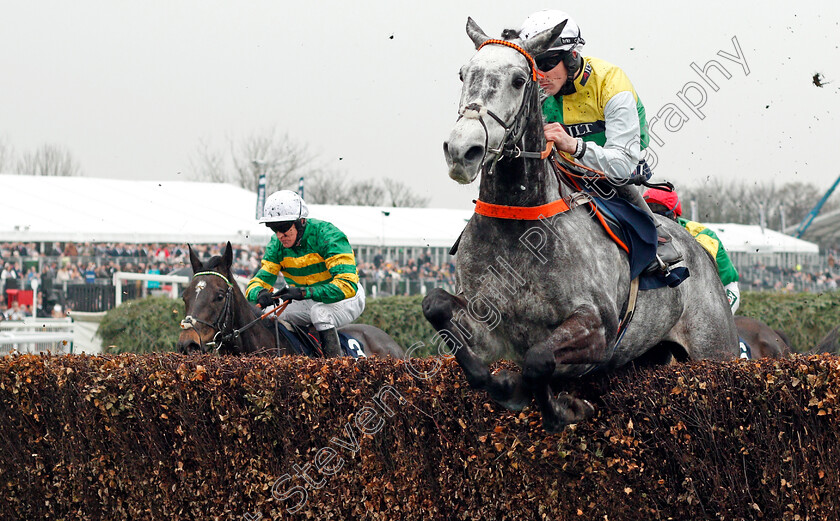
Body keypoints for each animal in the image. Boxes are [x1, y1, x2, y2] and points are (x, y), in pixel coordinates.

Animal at [424, 18, 740, 432]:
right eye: (464, 74)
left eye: (519, 80)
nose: (463, 151)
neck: (520, 227)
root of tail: (700, 248)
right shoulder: (487, 325)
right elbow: (436, 306)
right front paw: (500, 384)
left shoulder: (599, 329)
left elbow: (538, 359)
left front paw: (559, 408)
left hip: (715, 349)